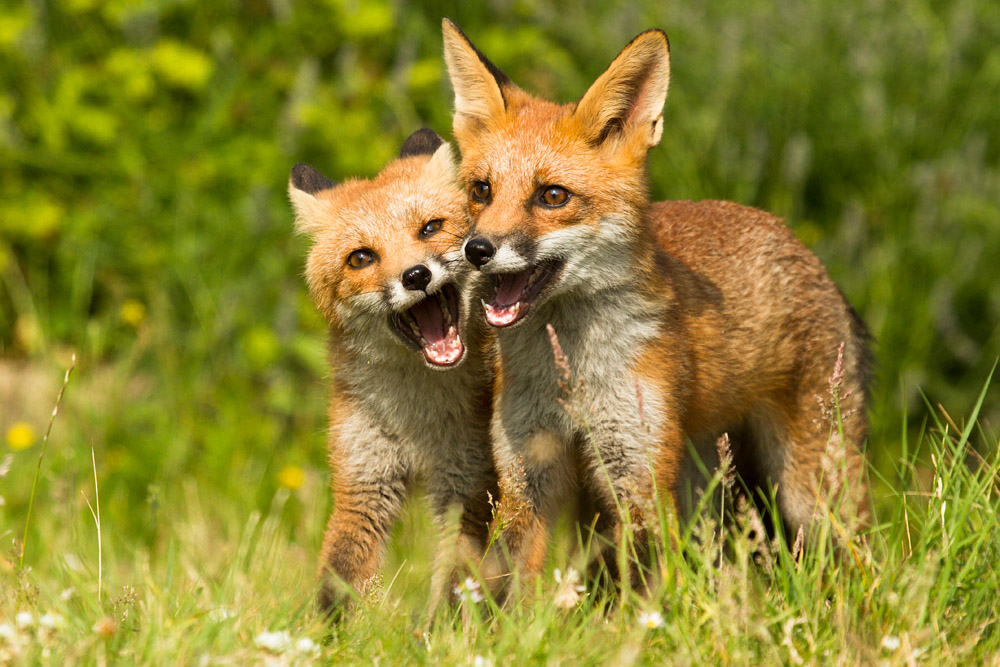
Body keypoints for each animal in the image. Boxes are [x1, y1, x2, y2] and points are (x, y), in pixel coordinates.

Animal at [288, 128, 498, 615]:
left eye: (430, 228)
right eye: (361, 258)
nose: (416, 275)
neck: (416, 416)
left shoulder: (467, 486)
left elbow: (456, 586)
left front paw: (442, 630)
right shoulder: (363, 484)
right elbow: (338, 585)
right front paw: (323, 635)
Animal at [441, 20, 872, 592]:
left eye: (552, 196)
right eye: (481, 191)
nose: (478, 249)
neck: (571, 371)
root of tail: (800, 246)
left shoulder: (636, 472)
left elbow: (645, 587)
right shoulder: (529, 470)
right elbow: (516, 590)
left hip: (812, 489)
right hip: (702, 481)